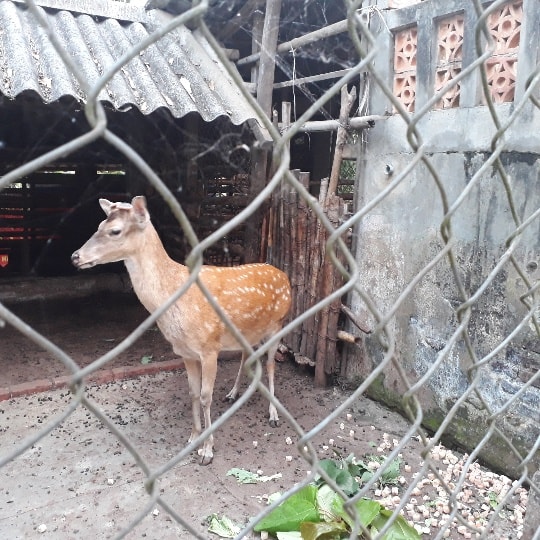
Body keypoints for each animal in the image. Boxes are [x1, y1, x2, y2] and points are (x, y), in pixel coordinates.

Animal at [72, 195, 294, 464]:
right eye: (98, 225)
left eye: (114, 231)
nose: (75, 256)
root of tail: (285, 276)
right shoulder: (186, 353)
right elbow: (193, 393)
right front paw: (193, 438)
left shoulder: (209, 348)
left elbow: (206, 396)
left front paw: (207, 450)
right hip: (246, 332)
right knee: (247, 357)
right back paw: (232, 394)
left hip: (277, 324)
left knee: (271, 365)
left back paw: (273, 414)